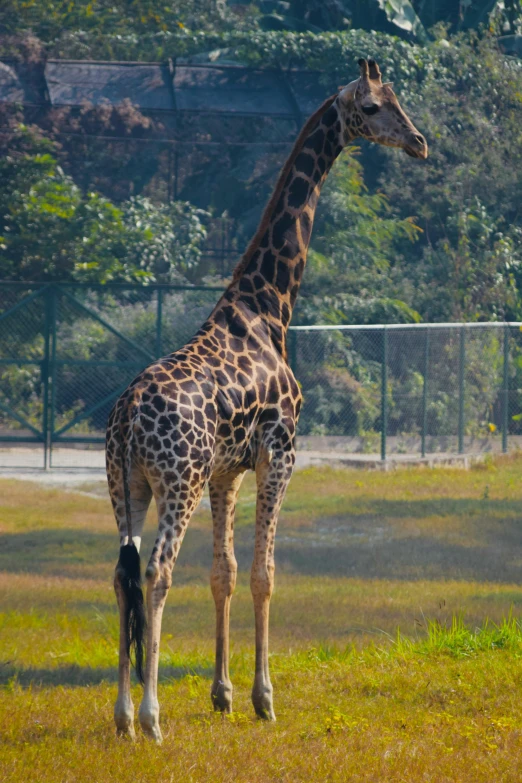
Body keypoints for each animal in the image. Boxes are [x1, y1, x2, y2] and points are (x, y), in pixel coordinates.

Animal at [106, 58, 426, 744]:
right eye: (377, 107)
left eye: (398, 102)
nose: (419, 142)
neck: (269, 307)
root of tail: (127, 418)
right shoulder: (280, 455)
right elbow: (263, 574)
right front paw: (263, 698)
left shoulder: (226, 472)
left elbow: (224, 572)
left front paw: (223, 695)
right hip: (177, 481)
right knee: (156, 571)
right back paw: (151, 718)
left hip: (128, 487)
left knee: (123, 575)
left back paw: (120, 716)